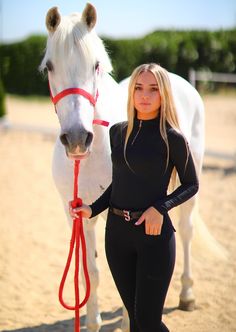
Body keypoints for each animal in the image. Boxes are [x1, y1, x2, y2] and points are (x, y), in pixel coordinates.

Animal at [40, 3, 205, 332]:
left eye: (96, 65)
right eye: (49, 67)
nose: (77, 139)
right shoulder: (77, 215)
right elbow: (91, 274)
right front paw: (92, 322)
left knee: (186, 232)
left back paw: (187, 295)